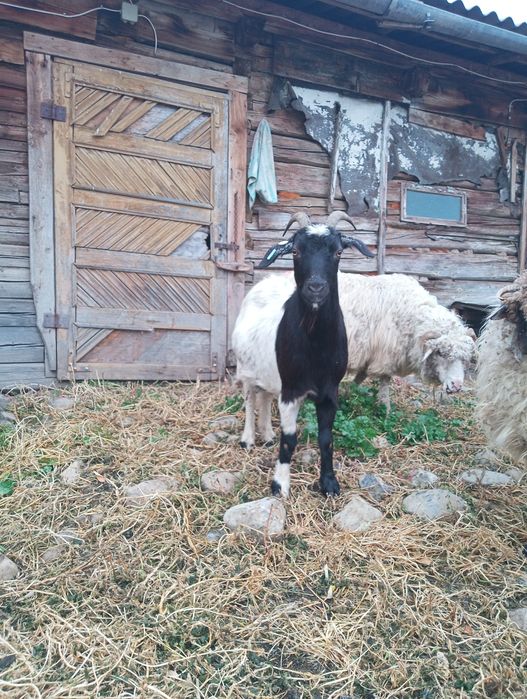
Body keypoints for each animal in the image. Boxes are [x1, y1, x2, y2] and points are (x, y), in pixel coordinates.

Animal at [232, 211, 373, 497]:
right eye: (295, 251)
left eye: (338, 251)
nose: (316, 288)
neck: (316, 347)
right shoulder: (292, 390)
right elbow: (289, 438)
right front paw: (279, 485)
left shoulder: (330, 391)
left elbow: (326, 438)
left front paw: (329, 484)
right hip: (246, 369)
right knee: (250, 400)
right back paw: (248, 439)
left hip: (270, 372)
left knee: (264, 398)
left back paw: (267, 435)